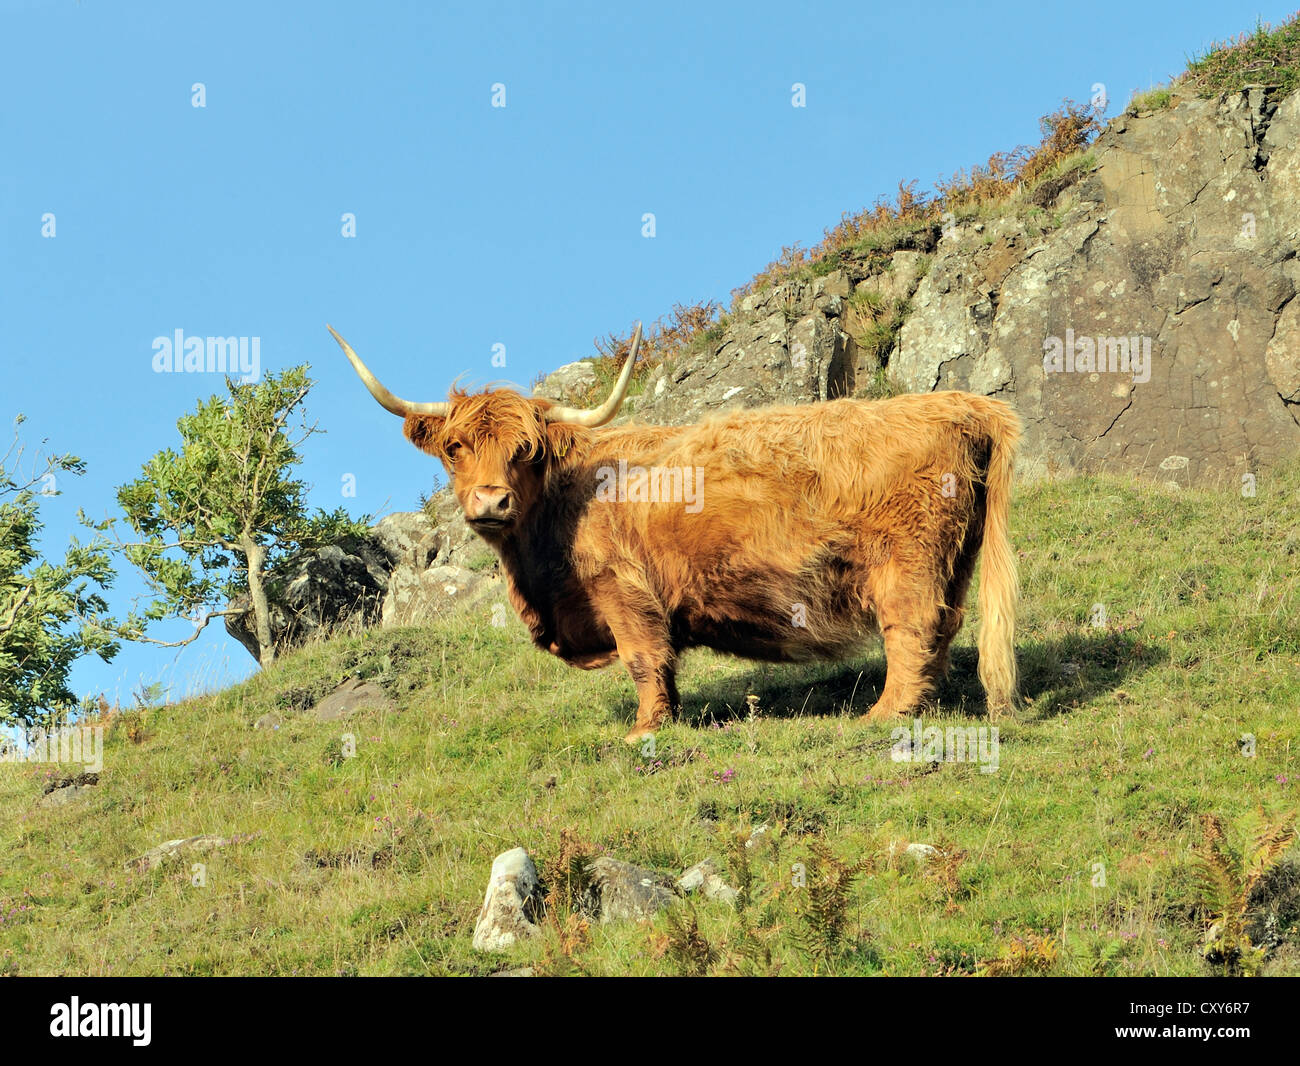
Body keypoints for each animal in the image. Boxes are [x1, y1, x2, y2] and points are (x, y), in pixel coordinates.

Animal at [330, 323, 1019, 742]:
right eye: (455, 448)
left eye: (525, 451)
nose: (491, 501)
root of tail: (963, 403)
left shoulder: (622, 591)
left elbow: (644, 659)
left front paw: (645, 729)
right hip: (953, 562)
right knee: (943, 629)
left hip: (906, 562)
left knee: (911, 628)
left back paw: (881, 713)